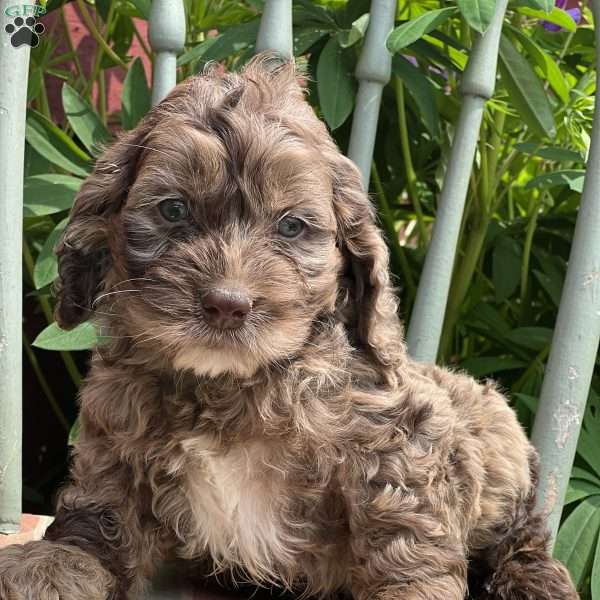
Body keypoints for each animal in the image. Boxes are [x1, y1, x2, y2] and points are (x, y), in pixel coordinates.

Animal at [1, 57, 580, 600]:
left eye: (292, 226)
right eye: (173, 210)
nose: (227, 304)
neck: (228, 385)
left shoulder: (398, 445)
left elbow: (405, 540)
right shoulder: (117, 436)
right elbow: (103, 515)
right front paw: (60, 564)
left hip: (498, 440)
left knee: (523, 536)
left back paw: (536, 579)